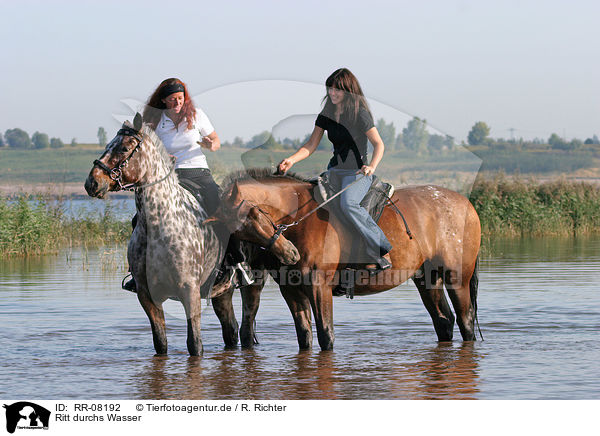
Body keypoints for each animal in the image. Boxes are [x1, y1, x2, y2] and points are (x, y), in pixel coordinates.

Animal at [84, 114, 239, 356]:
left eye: (124, 147)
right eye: (107, 145)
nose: (92, 182)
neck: (160, 221)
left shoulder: (189, 291)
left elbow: (195, 344)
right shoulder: (147, 295)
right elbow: (160, 343)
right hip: (221, 294)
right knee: (231, 331)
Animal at [209, 169, 480, 350]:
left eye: (252, 216)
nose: (290, 253)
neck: (300, 219)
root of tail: (466, 204)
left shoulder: (319, 287)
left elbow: (326, 335)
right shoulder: (292, 290)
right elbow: (304, 336)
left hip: (457, 278)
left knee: (465, 321)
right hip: (428, 278)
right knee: (444, 321)